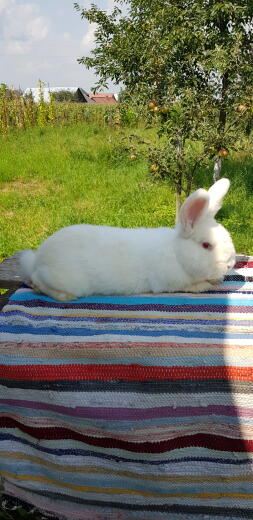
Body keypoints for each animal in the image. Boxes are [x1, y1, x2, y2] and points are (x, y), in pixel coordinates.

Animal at [19, 179, 235, 300]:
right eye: (206, 245)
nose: (230, 264)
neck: (176, 254)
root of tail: (38, 260)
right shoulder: (171, 283)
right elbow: (194, 286)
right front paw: (207, 285)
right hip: (63, 280)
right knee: (38, 281)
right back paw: (61, 296)